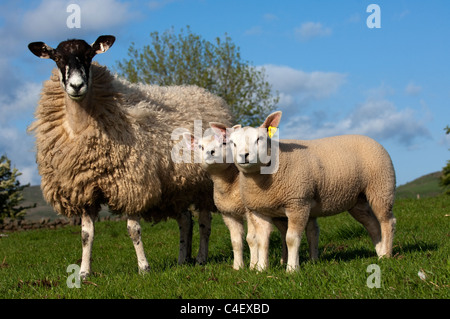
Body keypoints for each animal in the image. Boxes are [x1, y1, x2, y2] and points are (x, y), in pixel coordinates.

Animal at [26, 35, 232, 280]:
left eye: (89, 55)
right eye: (57, 58)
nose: (76, 86)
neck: (80, 125)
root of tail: (207, 95)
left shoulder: (132, 184)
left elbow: (133, 230)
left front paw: (144, 268)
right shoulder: (84, 189)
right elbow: (86, 235)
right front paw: (84, 273)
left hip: (204, 185)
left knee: (204, 222)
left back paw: (200, 257)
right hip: (175, 186)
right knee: (185, 221)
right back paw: (183, 259)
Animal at [230, 111, 396, 272]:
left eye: (260, 139)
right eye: (233, 143)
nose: (244, 156)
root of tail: (373, 140)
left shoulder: (298, 203)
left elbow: (291, 239)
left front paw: (292, 269)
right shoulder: (259, 210)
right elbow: (262, 241)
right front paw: (261, 269)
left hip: (381, 187)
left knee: (387, 222)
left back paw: (386, 255)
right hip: (358, 200)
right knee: (372, 225)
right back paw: (380, 253)